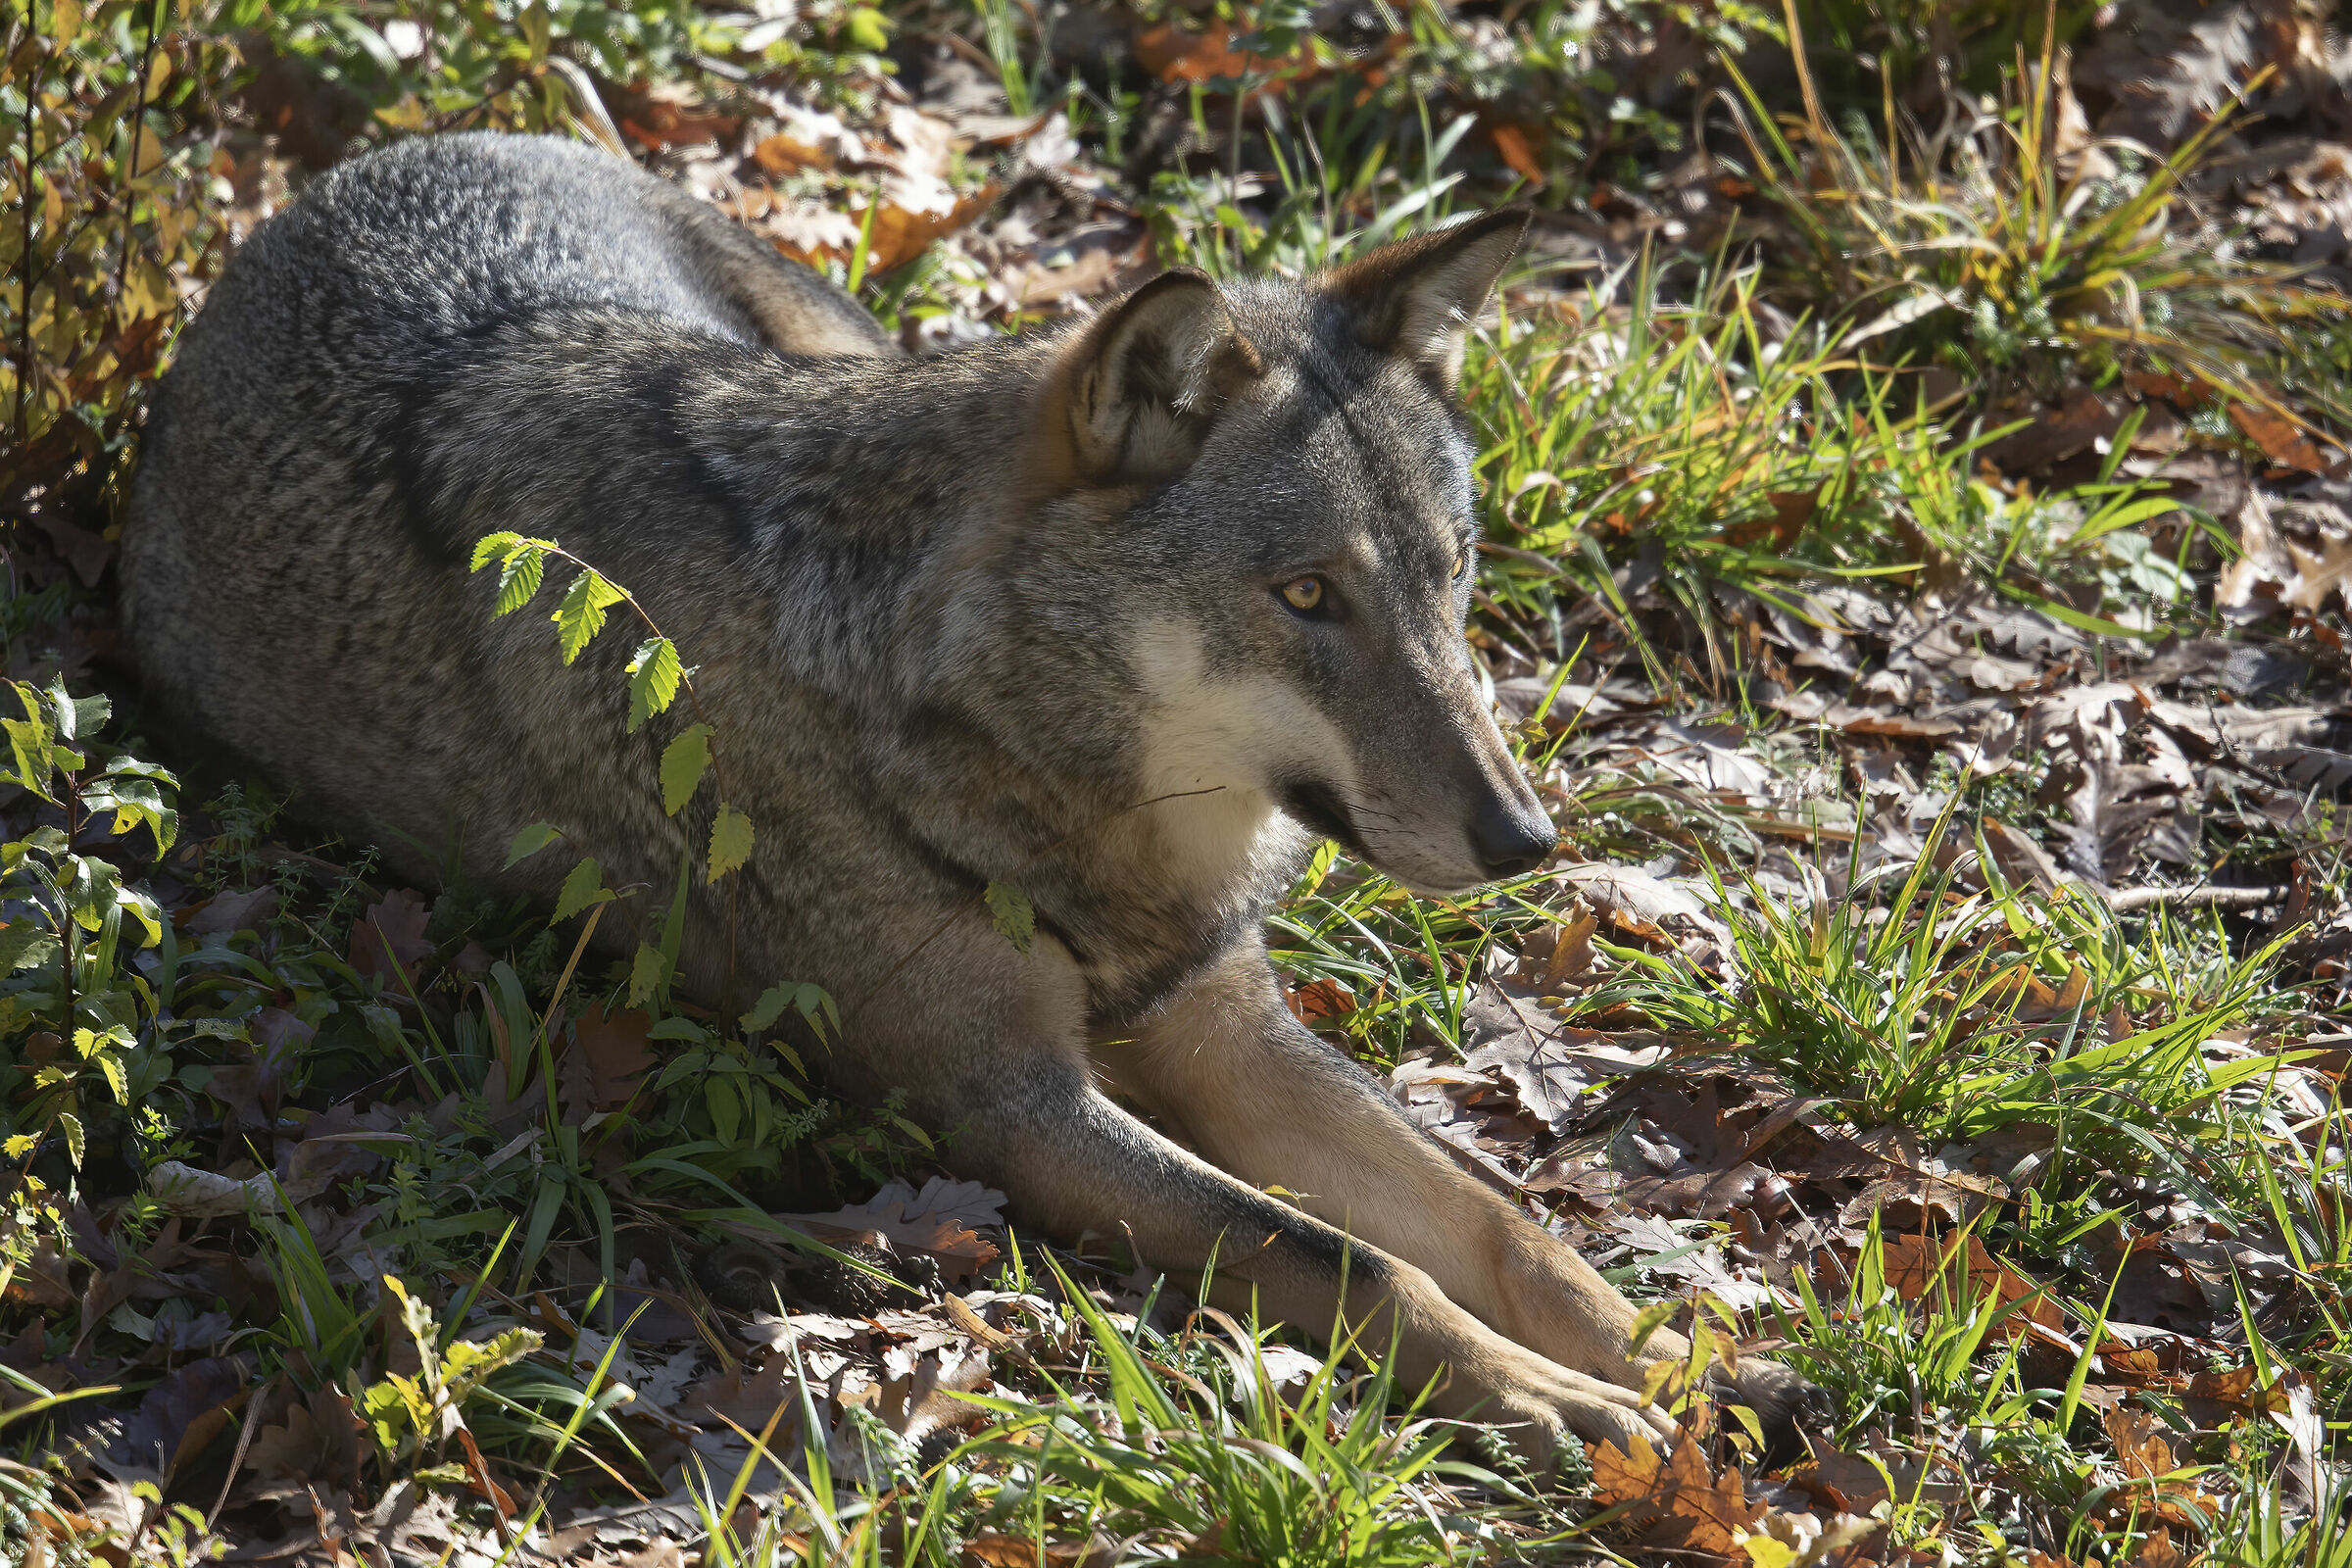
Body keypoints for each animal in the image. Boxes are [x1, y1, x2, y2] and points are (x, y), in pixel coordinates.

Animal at [123, 131, 1809, 1455]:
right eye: (1307, 597)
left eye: (1452, 582)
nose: (1527, 841)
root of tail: (388, 155)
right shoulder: (1007, 1103)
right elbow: (1342, 1259)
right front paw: (1565, 1406)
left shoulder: (1218, 1024)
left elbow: (1501, 1226)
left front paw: (1680, 1360)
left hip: (819, 338)